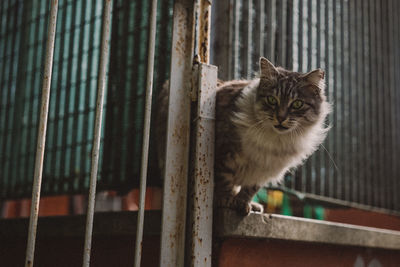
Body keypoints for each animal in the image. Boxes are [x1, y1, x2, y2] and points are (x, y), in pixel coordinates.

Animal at [216, 57, 332, 216]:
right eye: (271, 100)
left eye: (297, 104)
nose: (281, 118)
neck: (275, 140)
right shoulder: (226, 153)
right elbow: (226, 180)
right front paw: (226, 200)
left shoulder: (263, 170)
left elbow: (249, 190)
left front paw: (243, 204)